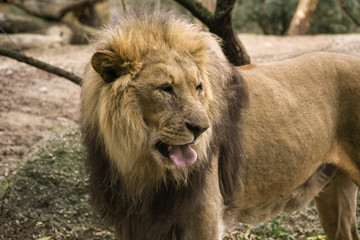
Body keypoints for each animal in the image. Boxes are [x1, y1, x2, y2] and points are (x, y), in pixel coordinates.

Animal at [81, 9, 360, 240]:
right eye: (166, 89)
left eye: (198, 87)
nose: (202, 129)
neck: (140, 167)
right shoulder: (134, 224)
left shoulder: (203, 219)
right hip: (335, 190)